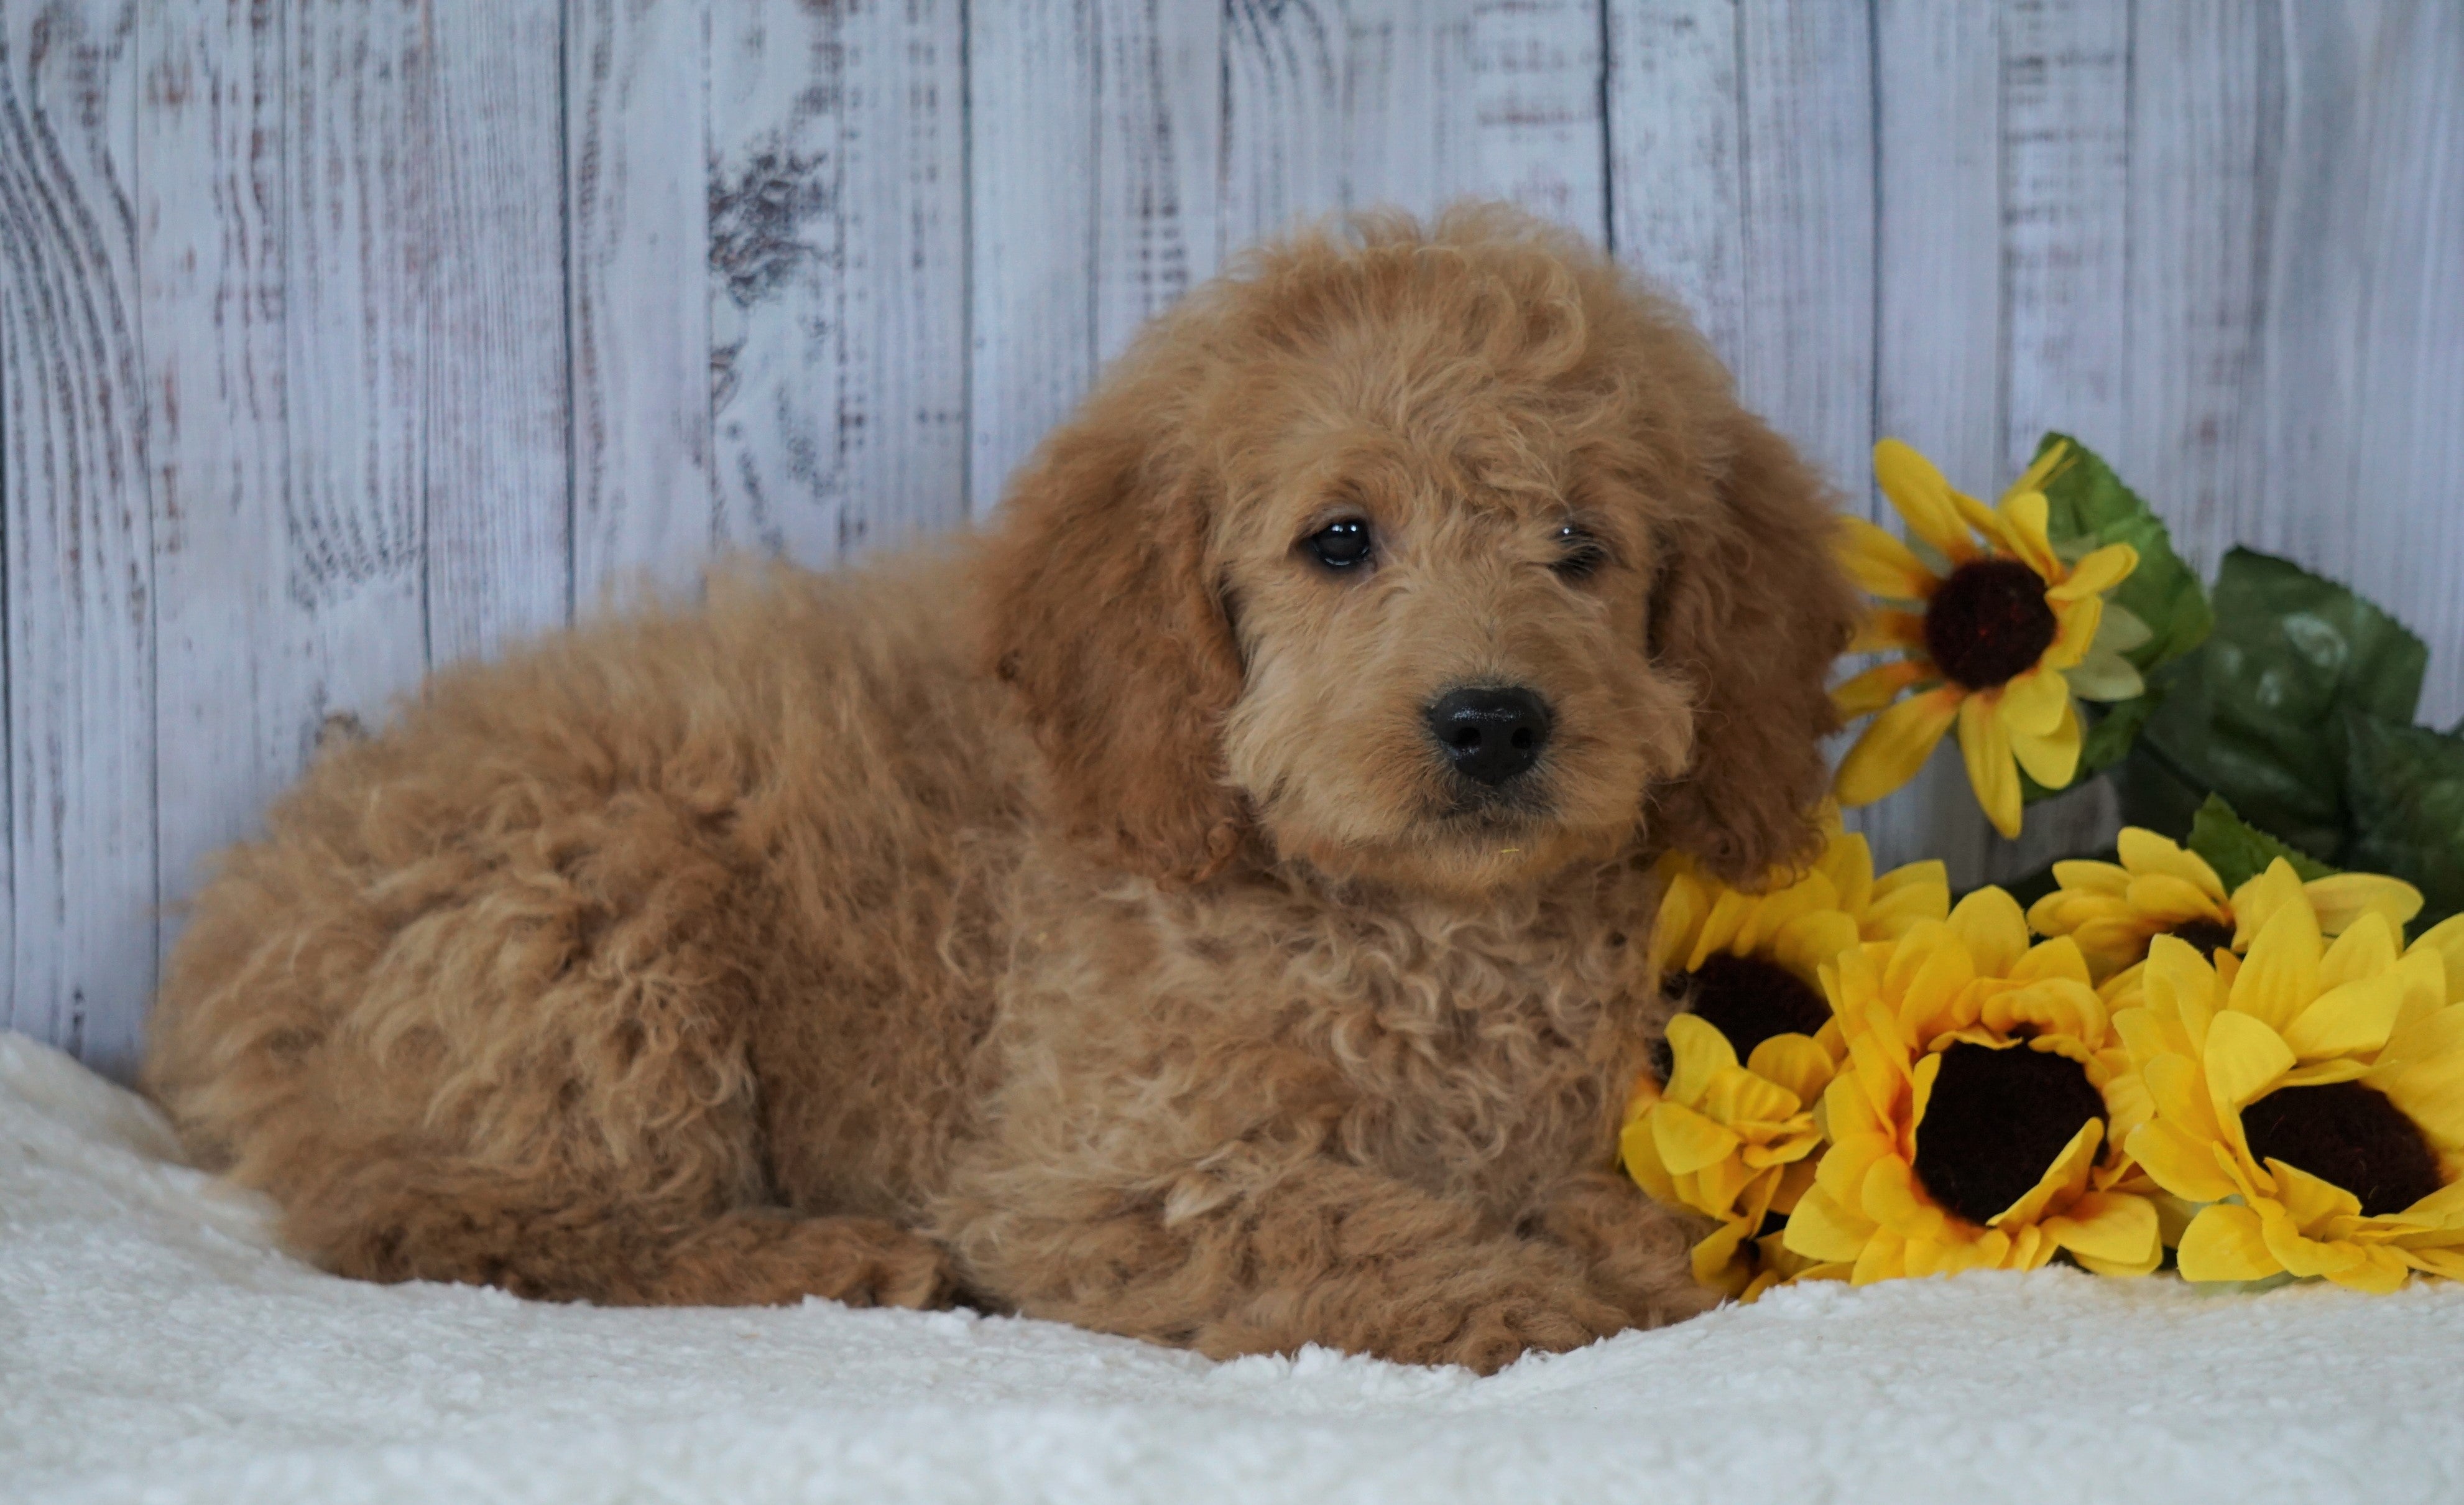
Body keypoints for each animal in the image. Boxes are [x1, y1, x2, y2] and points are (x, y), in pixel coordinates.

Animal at [144, 209, 1853, 1379]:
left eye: (1579, 547)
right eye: (1340, 540)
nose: (1493, 720)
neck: (1416, 925)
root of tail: (242, 922)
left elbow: (1604, 1201)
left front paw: (1630, 1249)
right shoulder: (1103, 1176)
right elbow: (1344, 1225)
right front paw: (1537, 1299)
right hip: (594, 914)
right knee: (432, 1212)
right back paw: (836, 1259)